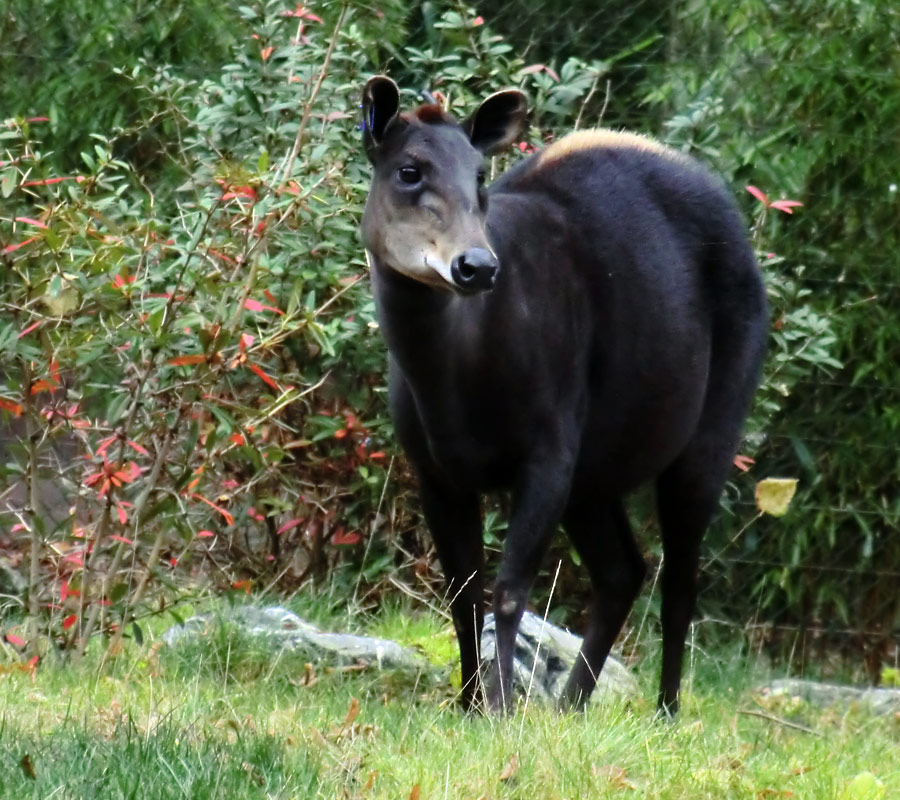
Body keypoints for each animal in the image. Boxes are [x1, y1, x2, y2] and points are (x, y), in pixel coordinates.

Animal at [358, 73, 768, 712]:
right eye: (409, 170)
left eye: (480, 174)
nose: (477, 265)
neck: (456, 377)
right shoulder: (435, 471)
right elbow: (462, 591)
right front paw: (469, 703)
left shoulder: (549, 449)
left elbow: (508, 589)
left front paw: (500, 709)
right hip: (596, 475)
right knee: (624, 570)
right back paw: (572, 704)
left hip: (710, 432)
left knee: (679, 579)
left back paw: (664, 712)